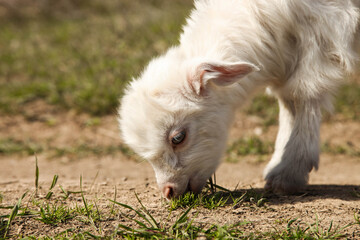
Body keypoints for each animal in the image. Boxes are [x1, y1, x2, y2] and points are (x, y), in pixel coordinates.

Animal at [119, 0, 358, 199]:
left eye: (178, 137)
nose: (168, 191)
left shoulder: (319, 30)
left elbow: (300, 94)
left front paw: (288, 173)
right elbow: (288, 101)